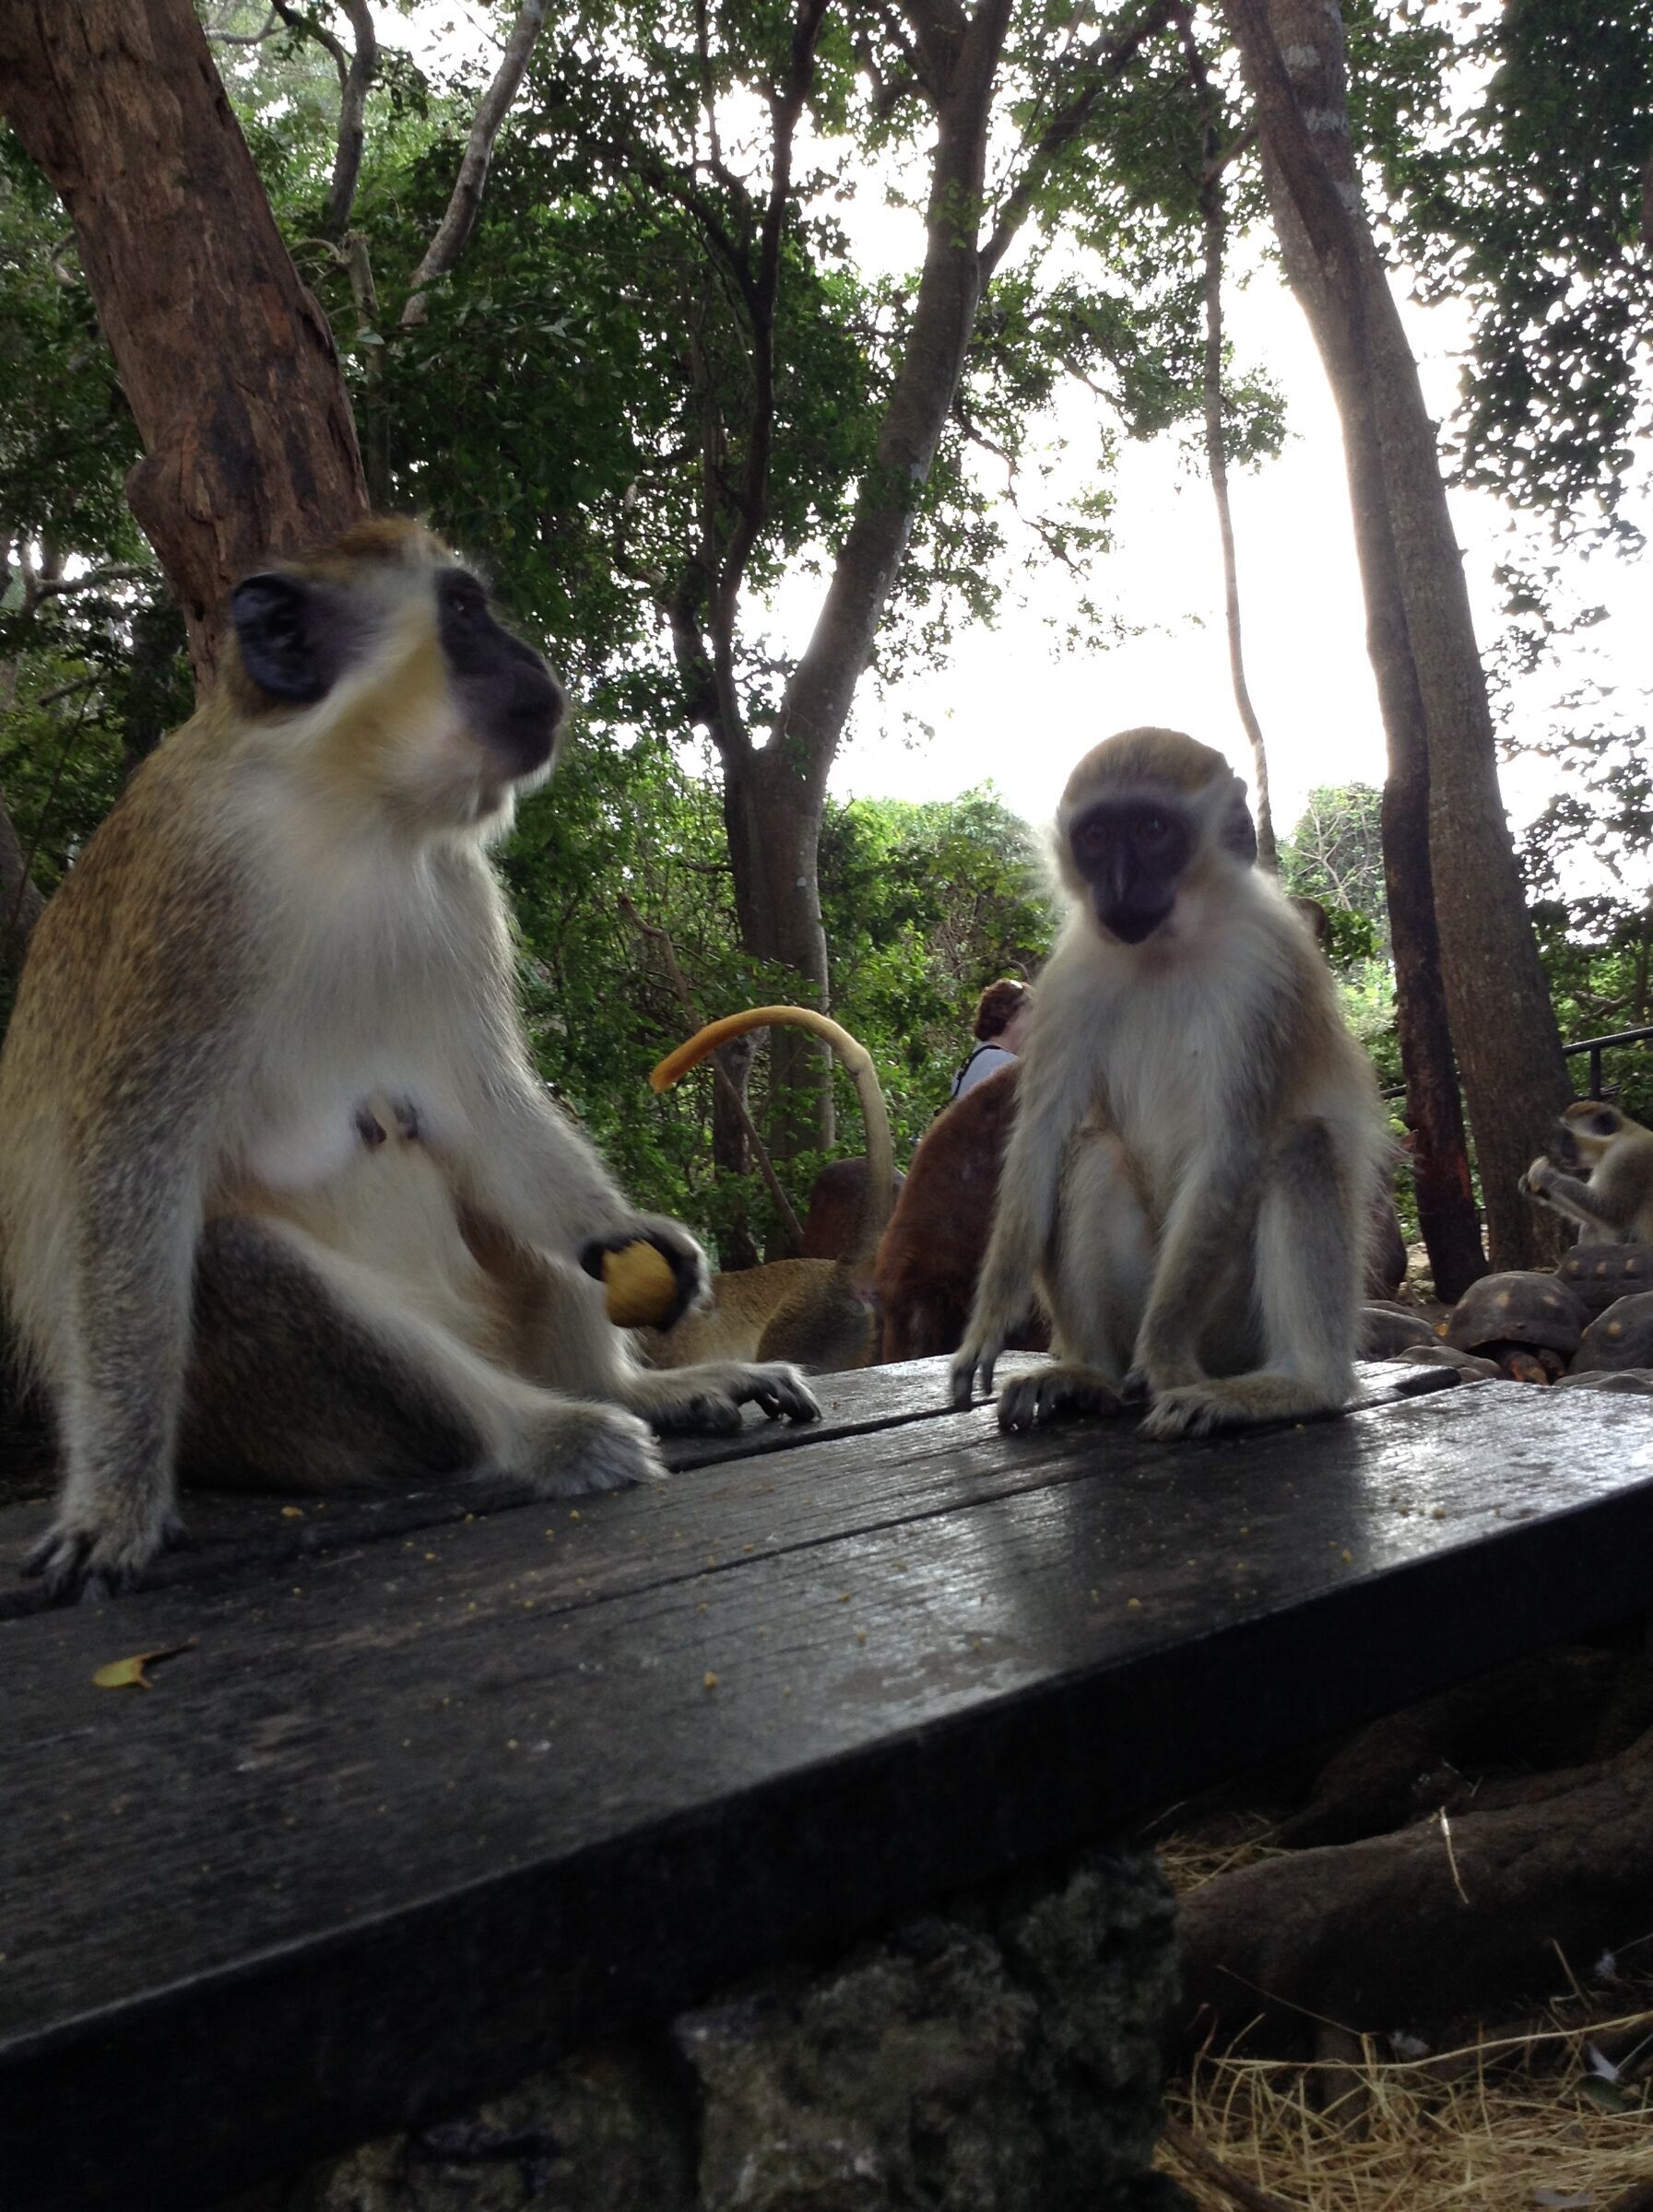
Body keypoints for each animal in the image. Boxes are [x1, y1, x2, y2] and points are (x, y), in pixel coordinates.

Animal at [0, 518, 817, 1601]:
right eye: (465, 613)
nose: (533, 659)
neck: (351, 811)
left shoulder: (456, 884)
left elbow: (479, 1100)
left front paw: (631, 1238)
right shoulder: (194, 892)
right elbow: (134, 1162)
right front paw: (114, 1507)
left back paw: (638, 1388)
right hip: (267, 1423)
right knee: (238, 1260)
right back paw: (550, 1431)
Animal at [951, 727, 1389, 1439]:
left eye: (1153, 829)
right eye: (1097, 836)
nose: (1121, 886)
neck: (1164, 947)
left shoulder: (1267, 970)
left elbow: (1229, 1149)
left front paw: (1162, 1359)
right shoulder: (1073, 972)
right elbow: (1042, 1136)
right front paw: (990, 1319)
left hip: (1230, 1328)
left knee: (1300, 1144)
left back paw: (1299, 1384)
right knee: (1090, 1151)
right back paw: (1090, 1374)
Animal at [1521, 1101, 1653, 1244]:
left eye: (1567, 1135)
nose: (1558, 1148)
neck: (1618, 1136)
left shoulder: (1625, 1156)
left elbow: (1612, 1213)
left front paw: (1545, 1174)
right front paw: (1536, 1188)